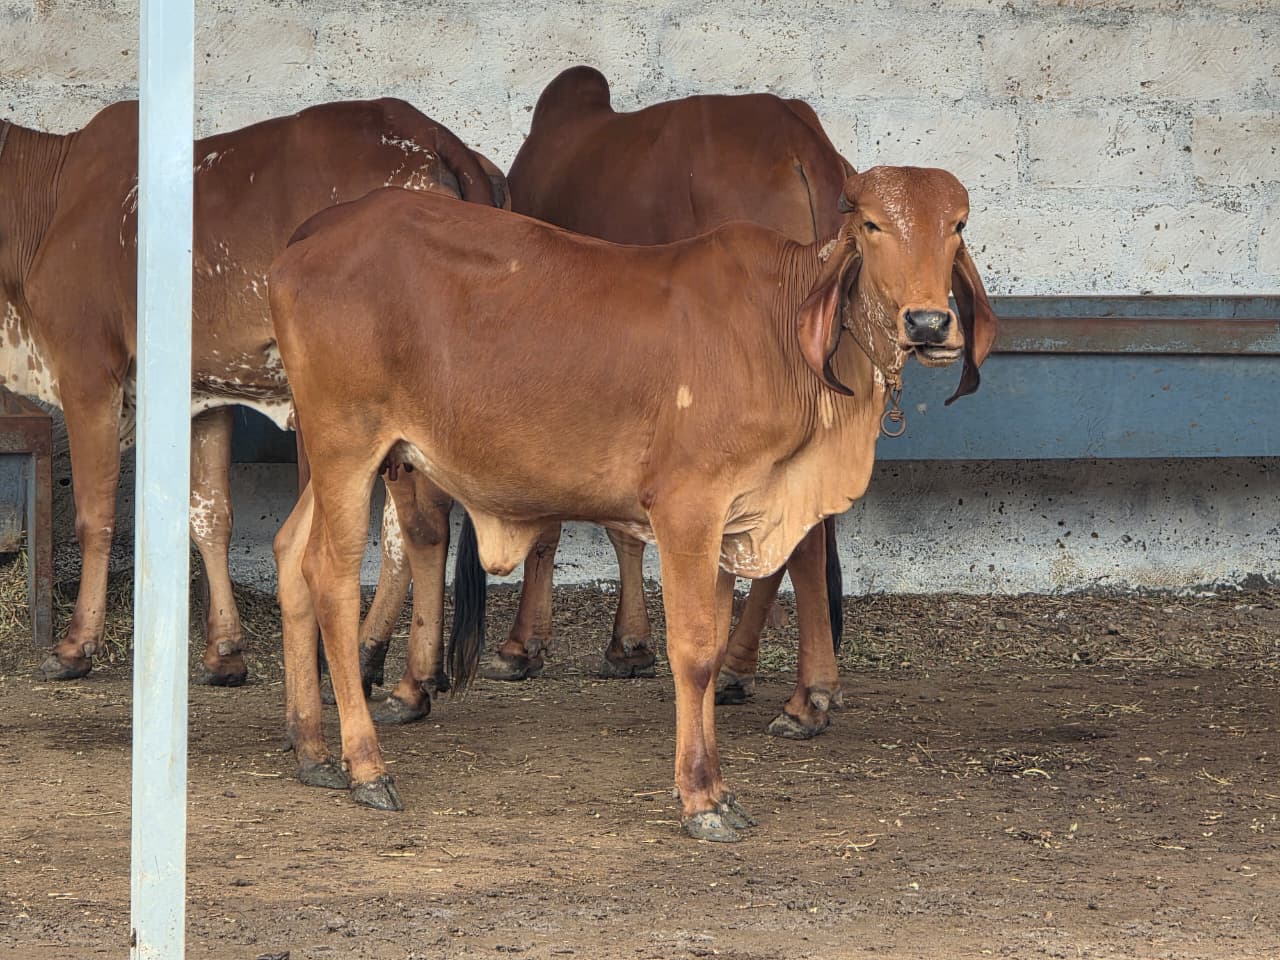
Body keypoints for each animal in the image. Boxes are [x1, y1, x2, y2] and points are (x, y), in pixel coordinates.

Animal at [0, 99, 499, 685]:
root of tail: (433, 136)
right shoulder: (202, 394)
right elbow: (210, 516)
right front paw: (224, 650)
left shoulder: (88, 372)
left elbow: (93, 514)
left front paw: (75, 646)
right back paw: (387, 664)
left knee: (413, 527)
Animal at [268, 164, 995, 841]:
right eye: (872, 225)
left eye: (957, 225)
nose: (929, 322)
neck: (780, 328)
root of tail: (311, 237)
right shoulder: (687, 506)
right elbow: (694, 652)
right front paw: (702, 797)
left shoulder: (733, 516)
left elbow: (718, 639)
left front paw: (718, 778)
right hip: (347, 444)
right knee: (329, 577)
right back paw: (366, 765)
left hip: (331, 457)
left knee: (289, 554)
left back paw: (312, 751)